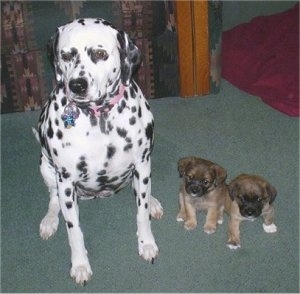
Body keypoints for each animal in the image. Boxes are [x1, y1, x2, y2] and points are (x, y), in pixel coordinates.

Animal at [33, 18, 163, 284]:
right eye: (66, 55)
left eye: (100, 54)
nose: (77, 85)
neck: (99, 118)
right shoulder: (66, 181)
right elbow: (74, 231)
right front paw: (80, 264)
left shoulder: (142, 163)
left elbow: (141, 212)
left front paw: (146, 243)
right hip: (46, 167)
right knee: (53, 198)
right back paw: (50, 220)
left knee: (141, 192)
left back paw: (153, 201)